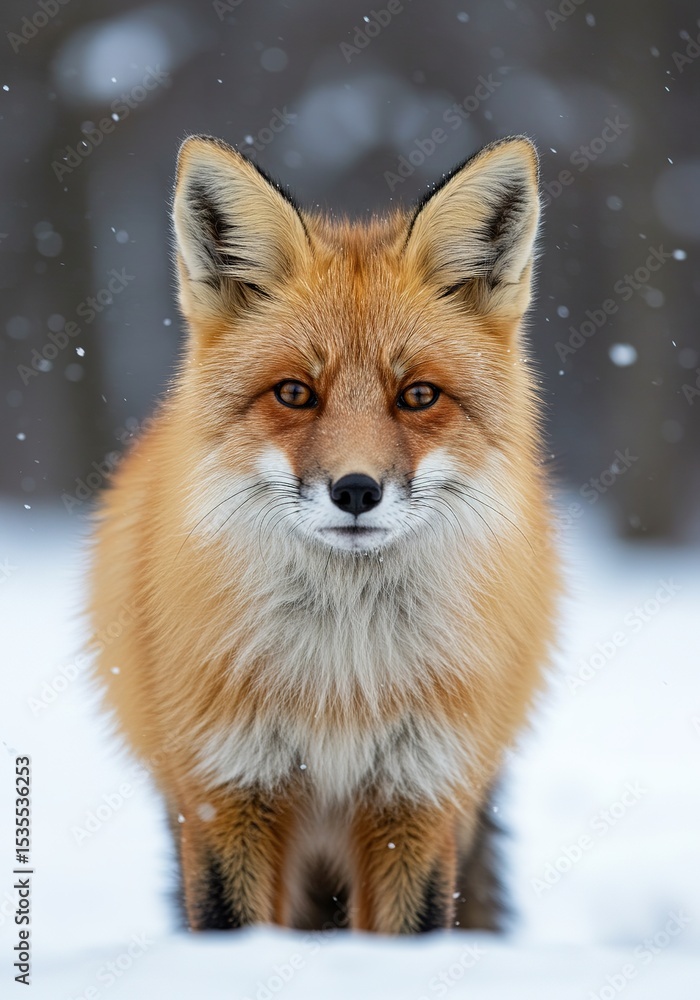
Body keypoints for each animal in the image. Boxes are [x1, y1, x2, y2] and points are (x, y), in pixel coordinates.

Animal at [89, 133, 559, 934]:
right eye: (295, 393)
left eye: (418, 395)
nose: (357, 491)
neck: (342, 676)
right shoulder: (225, 791)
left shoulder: (420, 796)